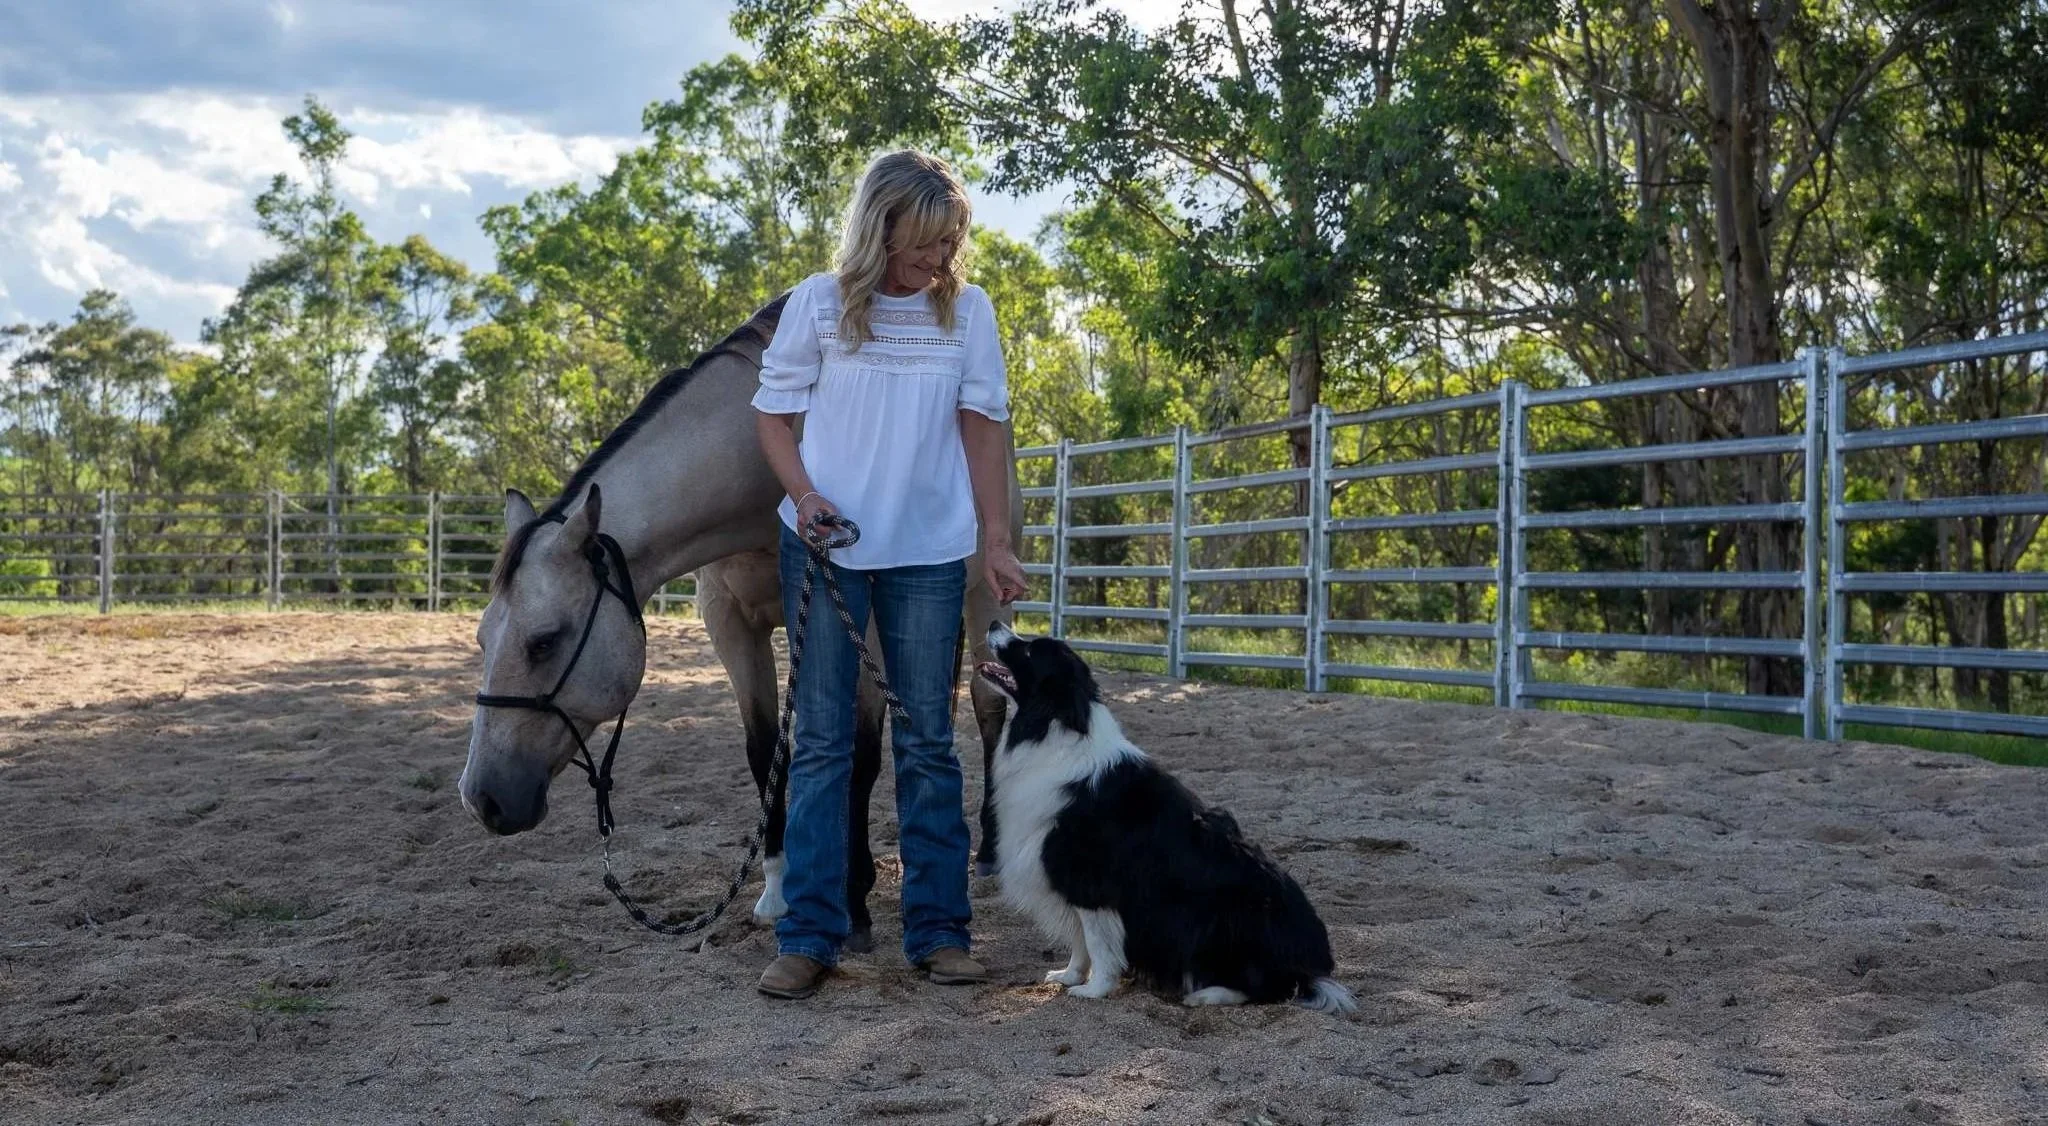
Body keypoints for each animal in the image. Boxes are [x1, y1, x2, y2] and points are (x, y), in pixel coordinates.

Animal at [456, 292, 1022, 953]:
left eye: (544, 642)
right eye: (483, 639)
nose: (482, 799)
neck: (765, 475)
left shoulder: (865, 624)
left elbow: (860, 755)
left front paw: (855, 902)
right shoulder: (732, 626)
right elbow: (764, 750)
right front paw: (776, 891)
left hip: (984, 595)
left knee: (988, 707)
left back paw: (989, 852)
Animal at [977, 623, 1356, 1014]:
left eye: (1030, 651)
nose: (993, 625)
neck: (1053, 726)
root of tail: (1314, 962)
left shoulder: (1090, 883)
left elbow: (1097, 942)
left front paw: (1095, 990)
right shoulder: (1071, 883)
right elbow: (1080, 941)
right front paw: (1070, 976)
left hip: (1231, 921)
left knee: (1267, 987)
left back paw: (1206, 994)